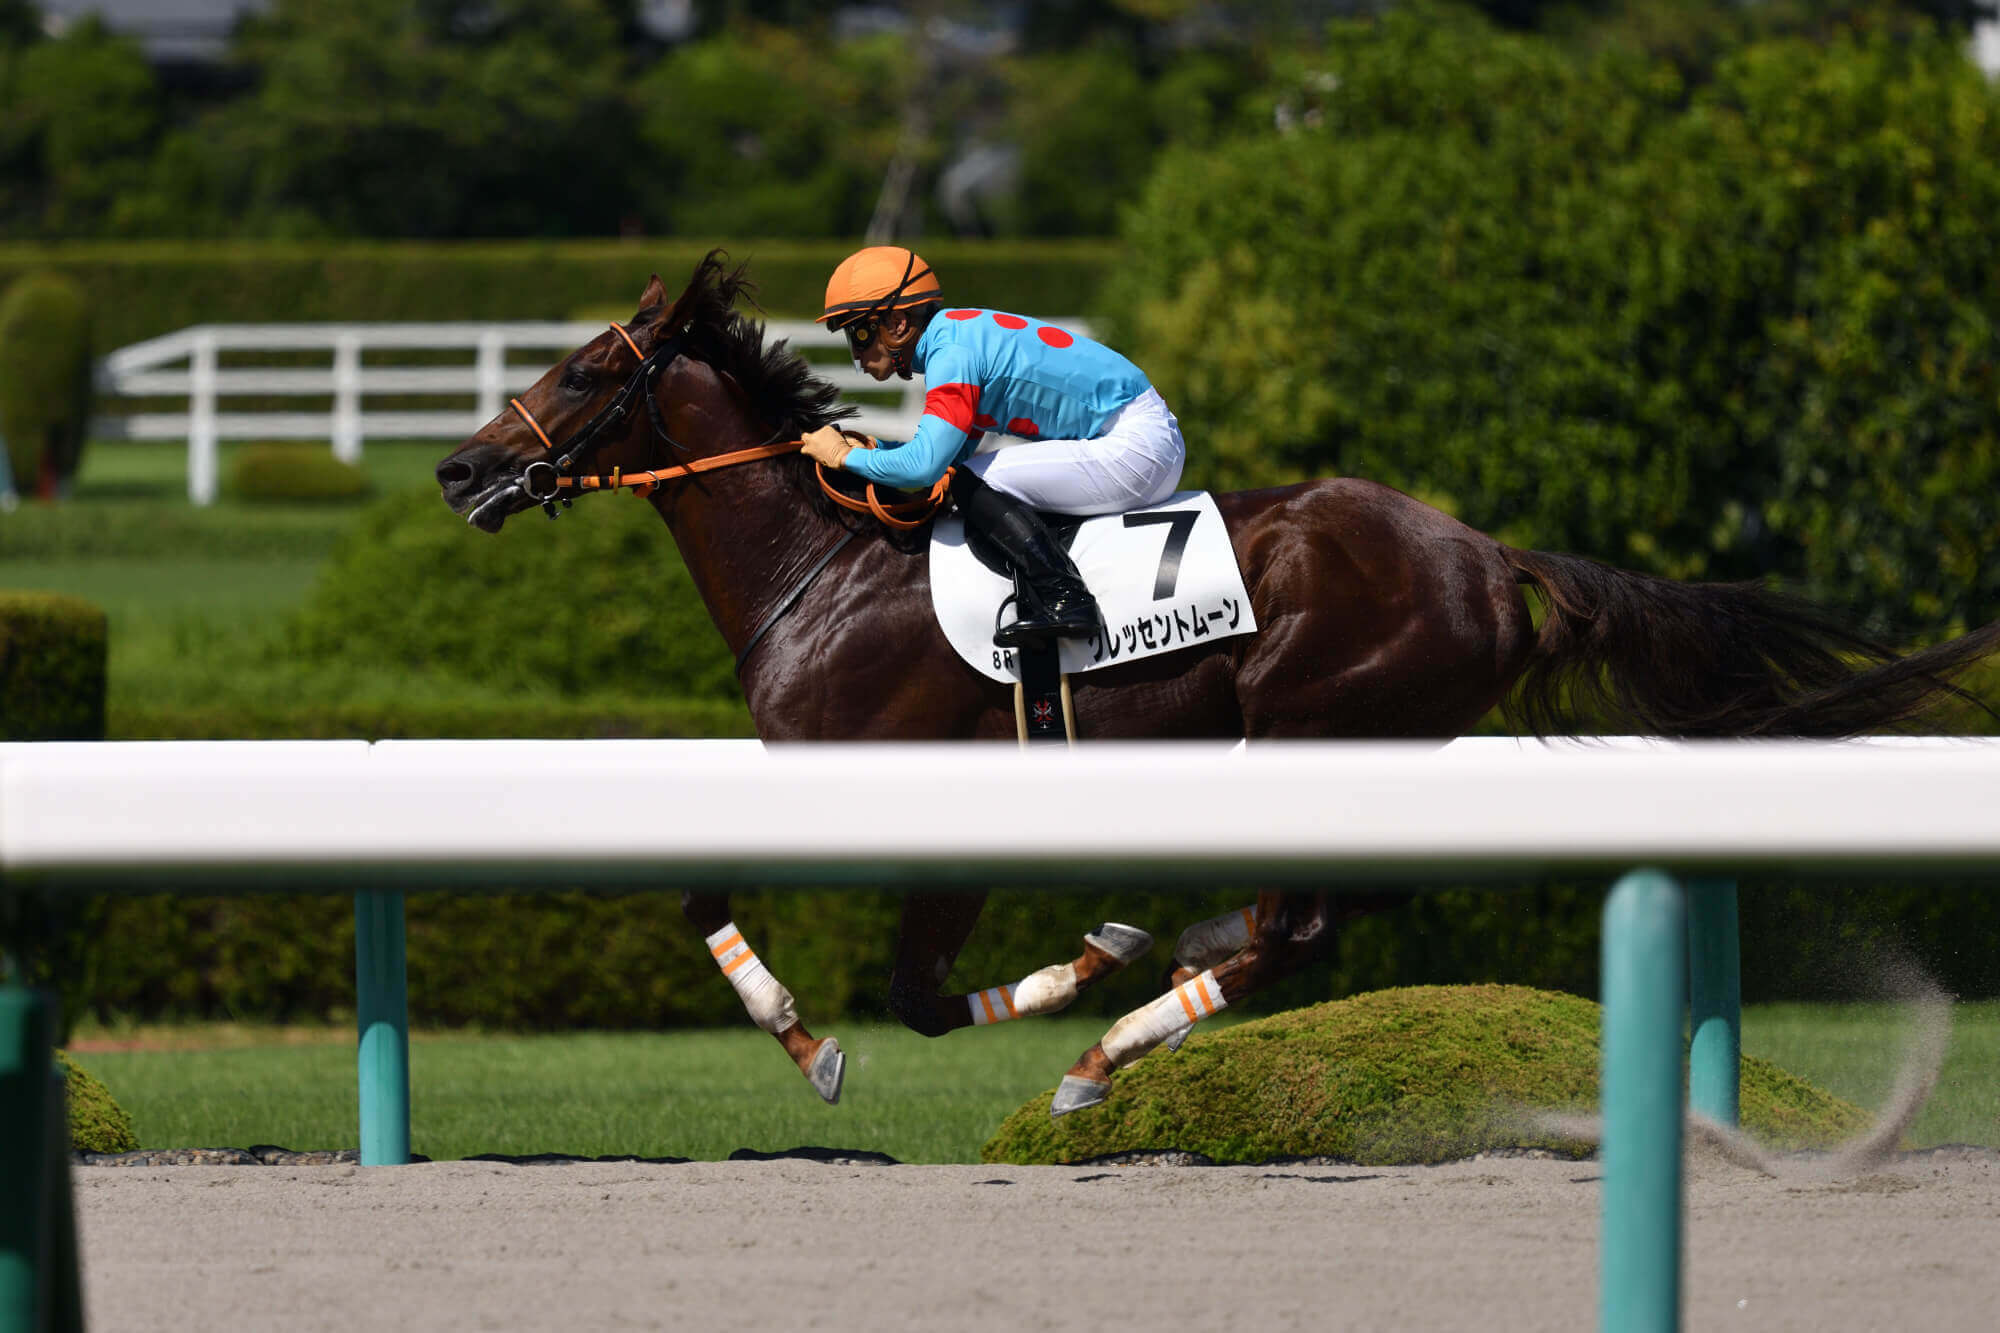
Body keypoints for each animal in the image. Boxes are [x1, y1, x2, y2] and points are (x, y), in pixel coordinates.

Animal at [438, 249, 2000, 1112]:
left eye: (583, 375)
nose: (457, 468)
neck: (824, 565)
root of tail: (1484, 554)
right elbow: (766, 922)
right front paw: (1093, 951)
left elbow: (903, 988)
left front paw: (824, 1038)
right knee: (1299, 919)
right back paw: (1164, 962)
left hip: (1319, 720)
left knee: (1291, 924)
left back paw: (1113, 1044)